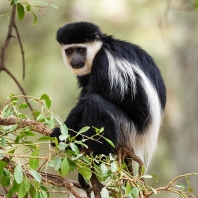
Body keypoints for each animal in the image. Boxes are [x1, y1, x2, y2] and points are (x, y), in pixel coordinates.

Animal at [50, 21, 166, 189]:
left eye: (81, 49)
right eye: (70, 50)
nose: (75, 60)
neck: (100, 48)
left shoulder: (105, 63)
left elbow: (94, 95)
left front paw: (62, 132)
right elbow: (85, 92)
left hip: (127, 130)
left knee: (95, 103)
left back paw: (100, 155)